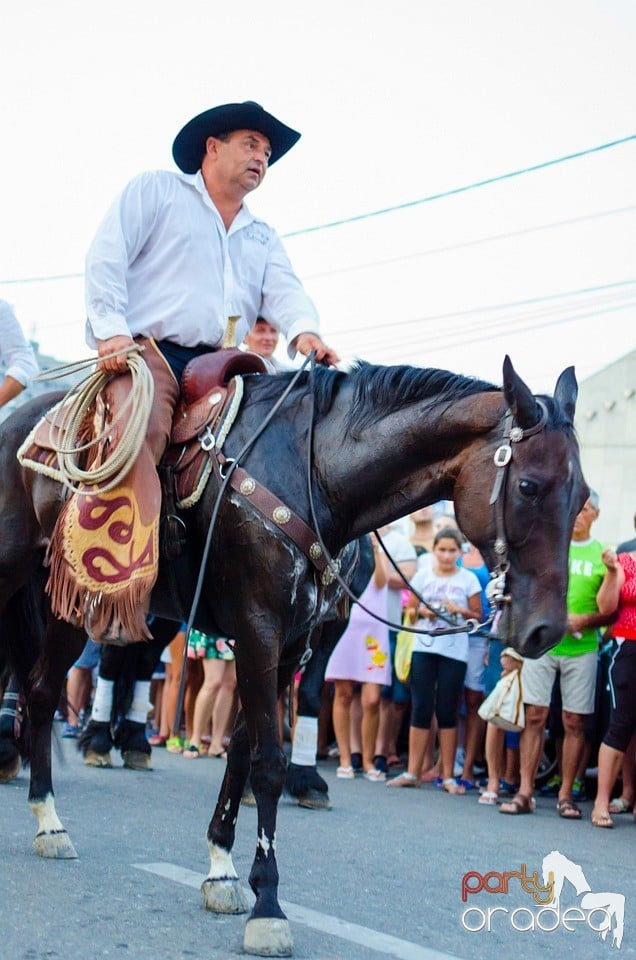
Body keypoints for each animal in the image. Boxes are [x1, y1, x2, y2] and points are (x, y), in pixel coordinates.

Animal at [1, 360, 588, 960]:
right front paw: (268, 906)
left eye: (583, 495)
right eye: (529, 486)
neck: (316, 478)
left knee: (49, 688)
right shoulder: (258, 632)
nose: (546, 629)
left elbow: (242, 749)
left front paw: (222, 870)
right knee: (45, 692)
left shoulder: (291, 644)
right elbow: (267, 762)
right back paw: (51, 819)